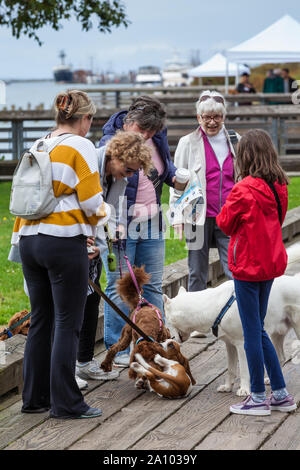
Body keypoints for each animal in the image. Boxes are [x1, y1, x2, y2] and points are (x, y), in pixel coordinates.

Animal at [163, 244, 300, 394]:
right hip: (275, 334)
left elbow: (245, 370)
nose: (171, 339)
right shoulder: (229, 345)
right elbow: (231, 369)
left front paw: (244, 389)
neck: (211, 306)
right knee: (281, 358)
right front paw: (228, 387)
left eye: (167, 321)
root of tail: (295, 279)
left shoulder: (242, 345)